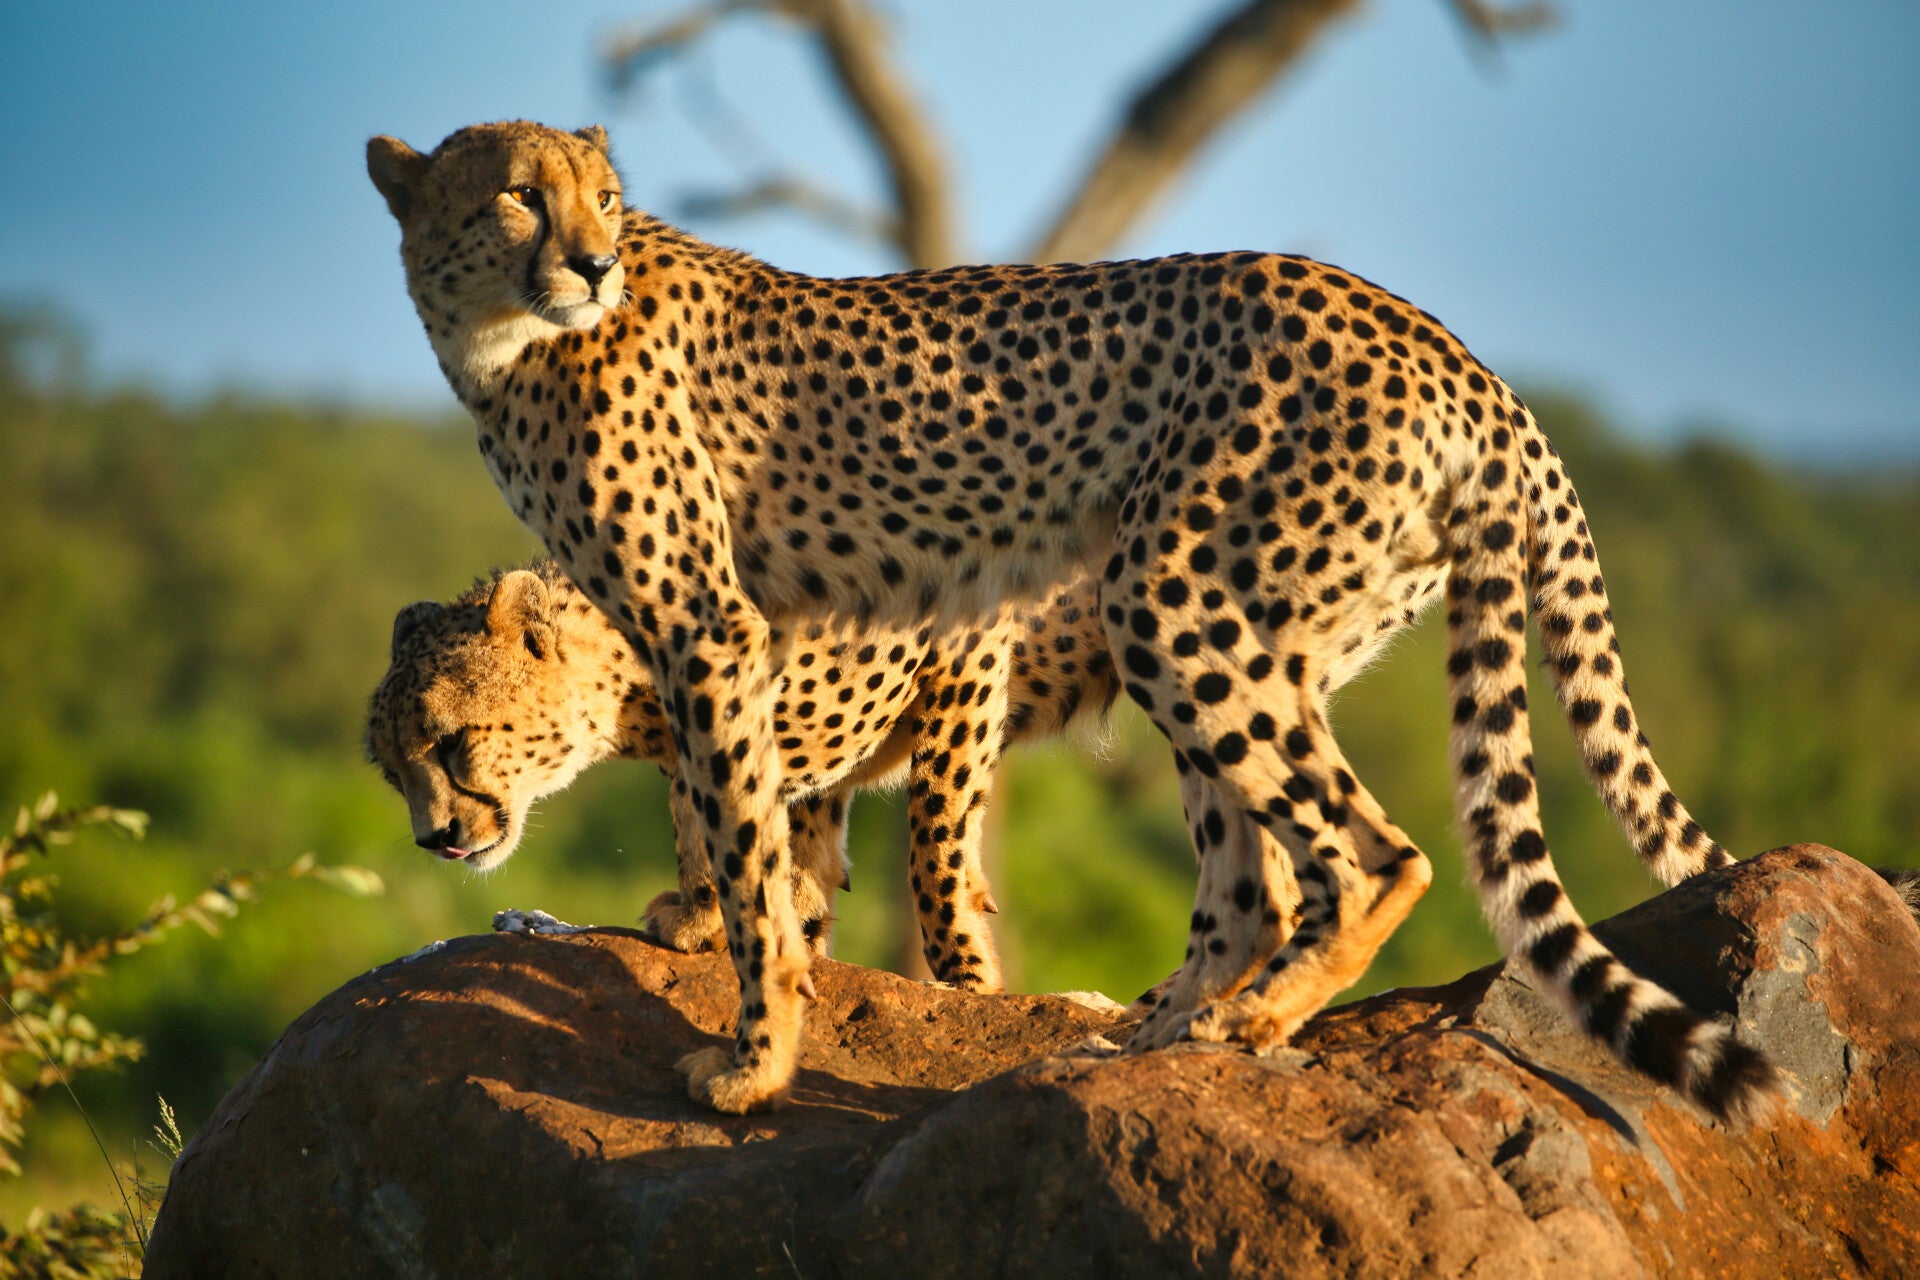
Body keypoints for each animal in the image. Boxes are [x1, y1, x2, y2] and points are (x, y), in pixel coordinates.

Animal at [365, 558, 1116, 991]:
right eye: (393, 773)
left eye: (451, 742)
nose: (434, 838)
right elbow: (772, 825)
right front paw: (763, 922)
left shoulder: (970, 641)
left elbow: (936, 838)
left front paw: (967, 975)